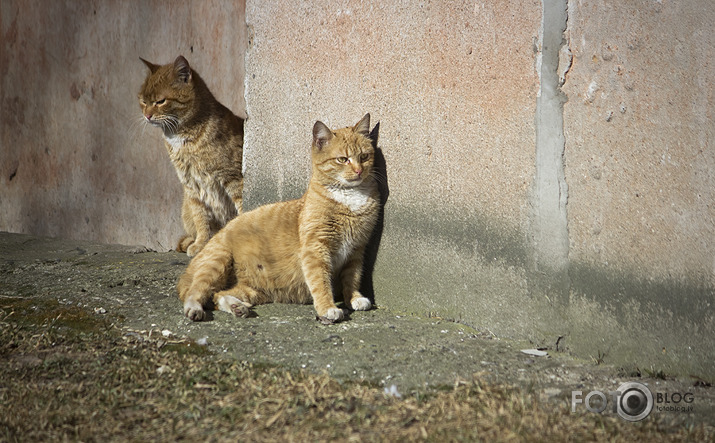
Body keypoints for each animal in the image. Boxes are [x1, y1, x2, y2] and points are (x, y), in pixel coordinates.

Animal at [138, 55, 245, 256]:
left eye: (160, 101)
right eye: (143, 101)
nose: (147, 116)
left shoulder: (233, 178)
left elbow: (243, 210)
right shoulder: (192, 187)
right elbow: (201, 218)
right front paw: (202, 243)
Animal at [178, 114, 380, 322]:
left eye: (364, 157)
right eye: (343, 159)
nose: (359, 171)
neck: (349, 197)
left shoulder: (356, 249)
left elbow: (352, 277)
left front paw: (354, 298)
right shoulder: (315, 249)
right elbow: (320, 282)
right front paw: (327, 308)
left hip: (254, 290)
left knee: (219, 295)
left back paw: (237, 307)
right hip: (217, 261)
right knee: (196, 292)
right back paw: (195, 309)